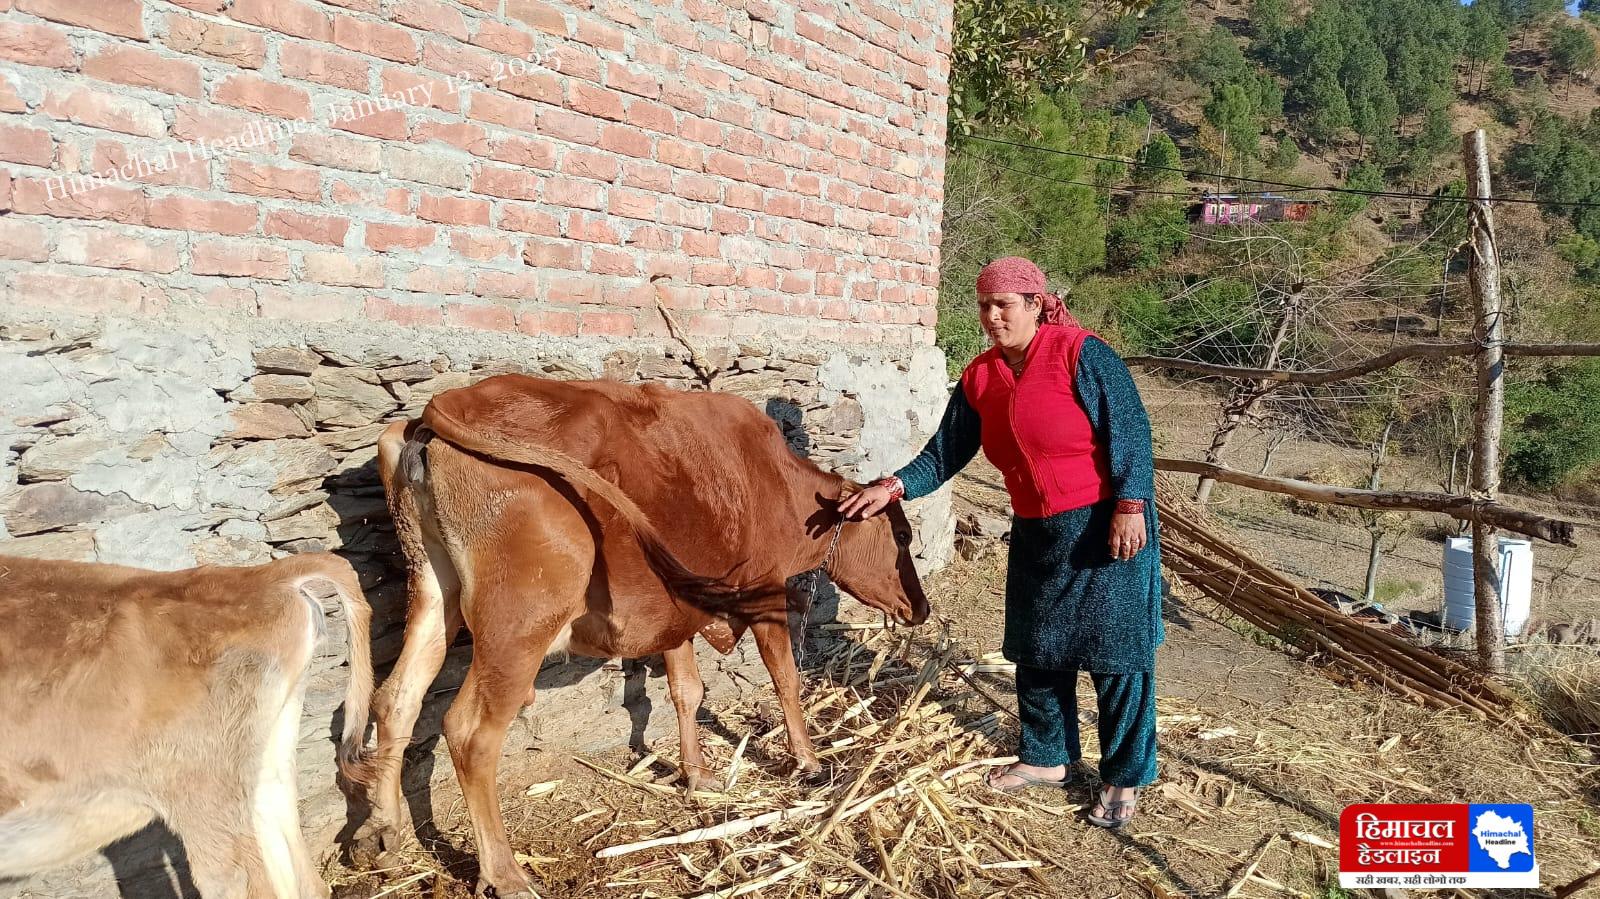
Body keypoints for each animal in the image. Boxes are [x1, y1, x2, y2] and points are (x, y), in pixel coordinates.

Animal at [357, 374, 930, 899]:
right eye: (902, 534)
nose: (921, 608)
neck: (779, 486)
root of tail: (451, 402)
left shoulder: (675, 610)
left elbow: (686, 691)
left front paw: (697, 775)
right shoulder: (765, 592)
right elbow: (785, 680)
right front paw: (808, 762)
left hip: (434, 589)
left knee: (396, 700)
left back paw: (384, 836)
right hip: (520, 622)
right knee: (469, 733)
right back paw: (506, 874)